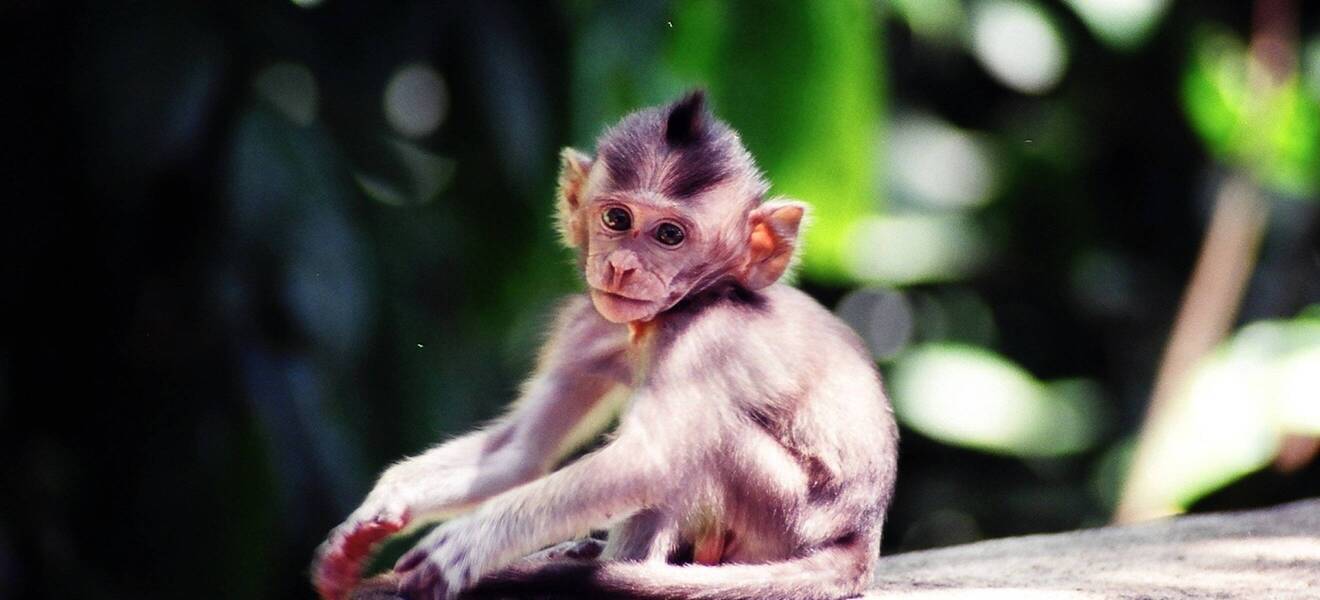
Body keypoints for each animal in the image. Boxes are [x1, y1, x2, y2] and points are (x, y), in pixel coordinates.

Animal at [311, 90, 899, 600]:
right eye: (617, 219)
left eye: (669, 236)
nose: (621, 266)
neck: (665, 318)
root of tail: (859, 544)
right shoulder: (587, 329)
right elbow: (522, 451)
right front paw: (380, 510)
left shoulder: (707, 340)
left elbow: (649, 460)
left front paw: (472, 542)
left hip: (784, 519)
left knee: (697, 446)